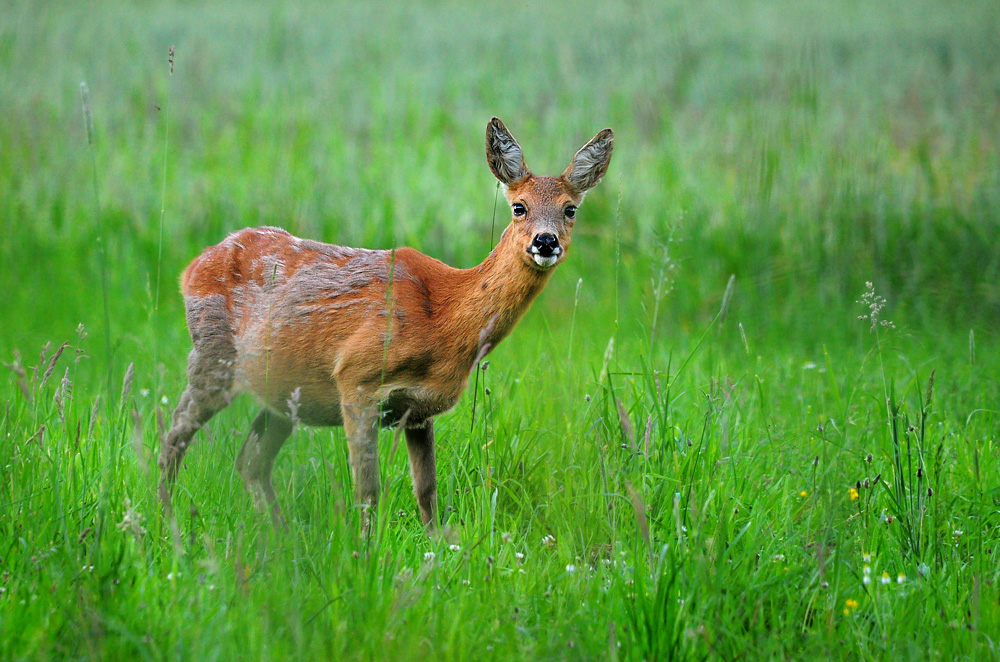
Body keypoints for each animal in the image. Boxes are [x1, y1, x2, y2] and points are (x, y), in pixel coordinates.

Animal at [157, 117, 614, 534]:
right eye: (519, 206)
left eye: (570, 209)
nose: (545, 241)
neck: (443, 318)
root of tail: (191, 268)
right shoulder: (356, 379)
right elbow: (368, 490)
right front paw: (365, 552)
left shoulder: (418, 411)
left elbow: (427, 492)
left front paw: (435, 549)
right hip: (213, 355)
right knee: (173, 438)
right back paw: (167, 522)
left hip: (283, 389)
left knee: (250, 461)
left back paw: (279, 535)